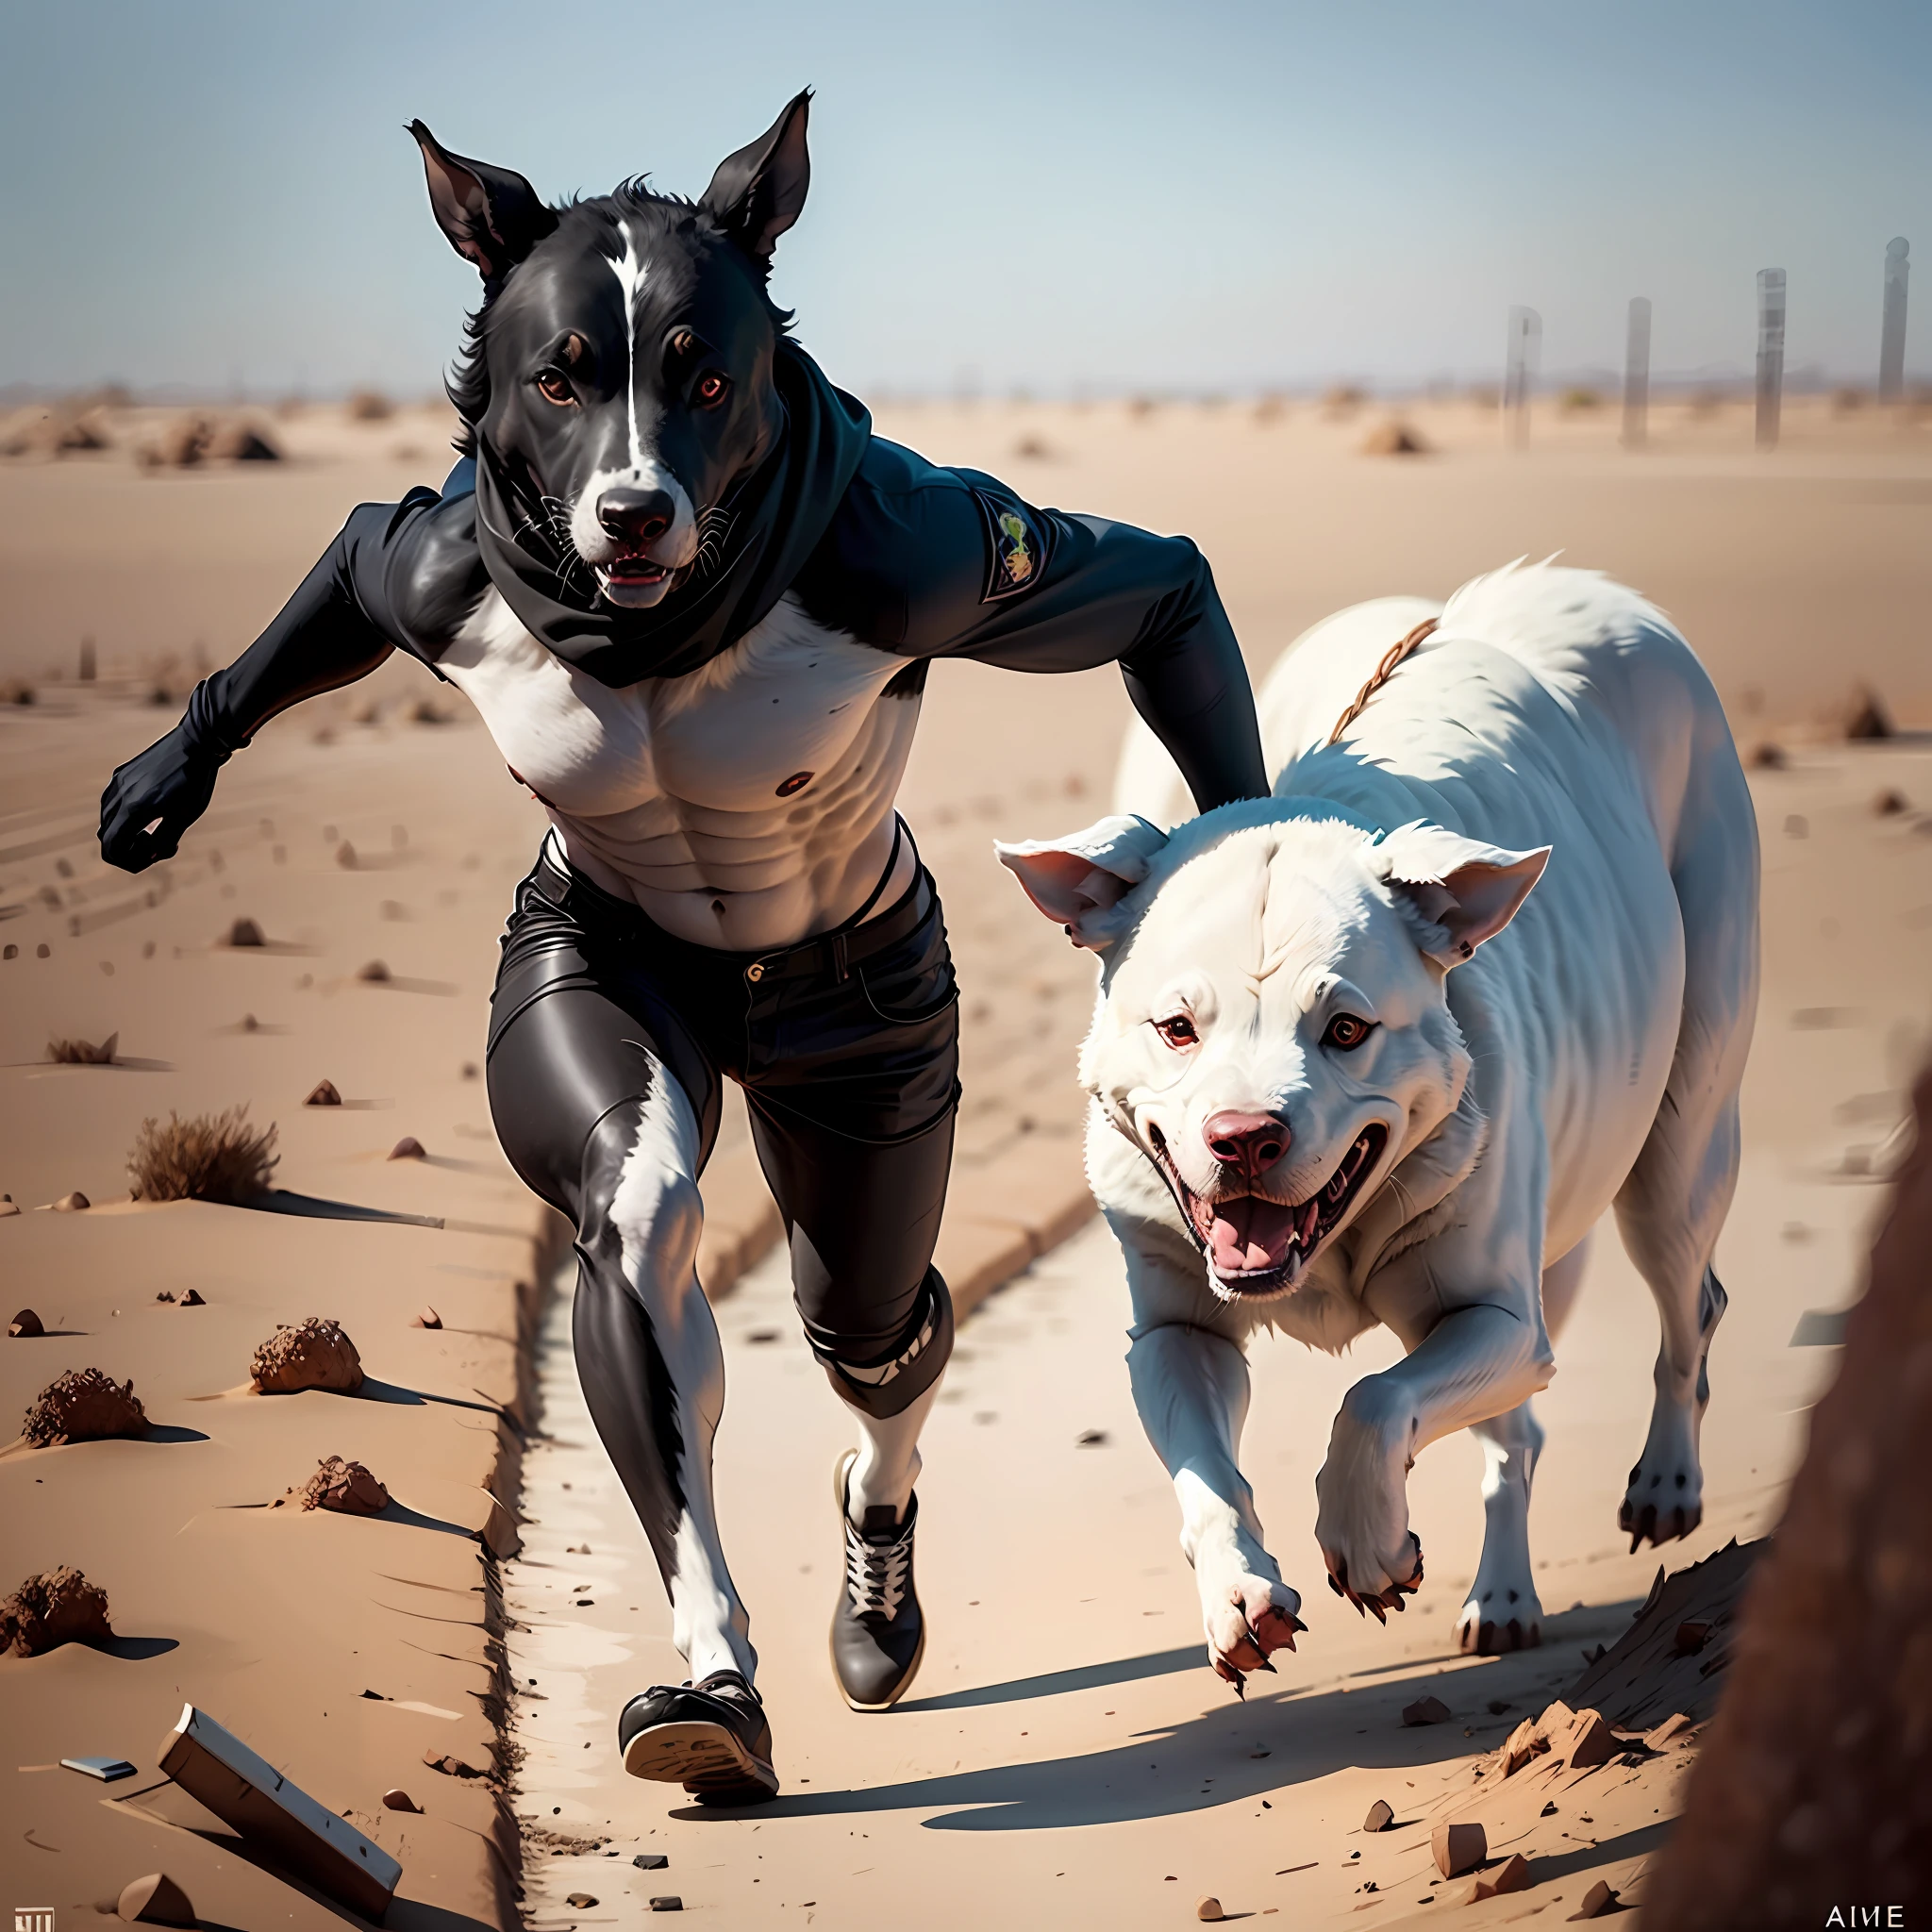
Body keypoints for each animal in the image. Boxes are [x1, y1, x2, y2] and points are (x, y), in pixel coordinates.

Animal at [102, 93, 1267, 1807]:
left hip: (877, 1094)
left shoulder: (921, 547)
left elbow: (1163, 579)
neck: (661, 631)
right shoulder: (433, 569)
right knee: (696, 1241)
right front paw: (715, 1678)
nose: (634, 507)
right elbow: (356, 550)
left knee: (879, 1336)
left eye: (706, 378)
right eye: (562, 375)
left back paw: (875, 1593)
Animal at [1004, 564, 1761, 1684]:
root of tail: (1586, 586)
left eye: (1347, 1028)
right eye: (1177, 1027)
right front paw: (1239, 1594)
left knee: (1687, 1298)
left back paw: (1663, 1482)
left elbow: (1371, 1400)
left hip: (1679, 1122)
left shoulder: (1495, 1312)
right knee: (1517, 1434)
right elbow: (1204, 1468)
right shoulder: (1178, 1324)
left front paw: (1367, 1546)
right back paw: (1502, 1596)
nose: (1244, 1137)